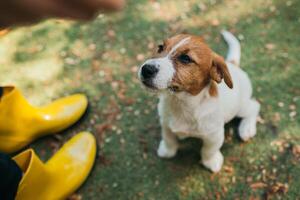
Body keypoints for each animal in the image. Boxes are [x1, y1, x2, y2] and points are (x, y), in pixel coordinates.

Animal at [138, 30, 260, 172]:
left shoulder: (214, 135)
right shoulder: (165, 123)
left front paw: (211, 162)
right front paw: (167, 150)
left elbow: (208, 150)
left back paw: (247, 128)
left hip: (240, 107)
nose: (146, 69)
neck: (180, 102)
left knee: (254, 106)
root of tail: (232, 64)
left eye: (185, 58)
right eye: (160, 47)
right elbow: (168, 138)